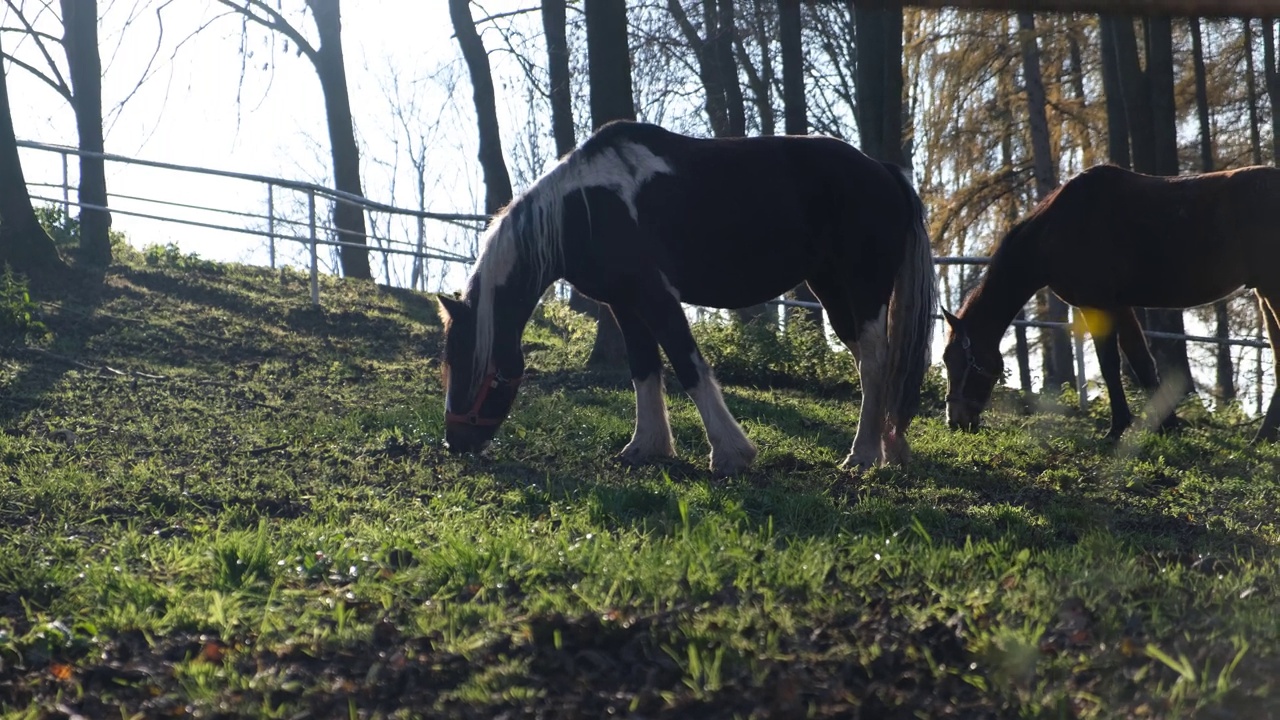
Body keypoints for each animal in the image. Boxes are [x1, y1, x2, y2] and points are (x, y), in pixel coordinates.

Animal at [440, 120, 942, 474]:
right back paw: (889, 448)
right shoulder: (625, 305)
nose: (456, 442)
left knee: (875, 363)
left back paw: (862, 456)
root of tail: (884, 172)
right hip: (833, 292)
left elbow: (687, 365)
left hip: (863, 288)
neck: (585, 208)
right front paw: (645, 447)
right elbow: (644, 370)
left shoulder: (656, 296)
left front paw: (730, 453)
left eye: (470, 364)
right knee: (873, 365)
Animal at [942, 163, 1280, 443]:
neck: (1061, 226)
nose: (956, 420)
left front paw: (1117, 428)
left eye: (962, 360)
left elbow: (1109, 364)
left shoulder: (1097, 304)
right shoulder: (1120, 306)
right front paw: (1167, 426)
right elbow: (1141, 361)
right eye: (946, 360)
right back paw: (1263, 437)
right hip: (1264, 294)